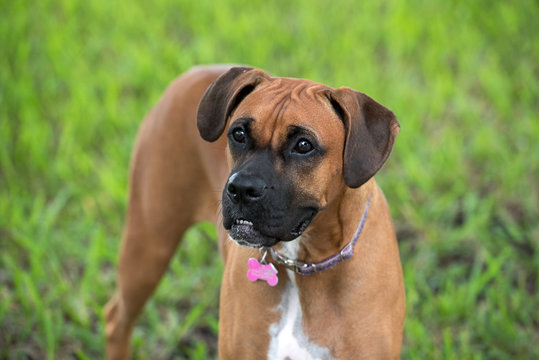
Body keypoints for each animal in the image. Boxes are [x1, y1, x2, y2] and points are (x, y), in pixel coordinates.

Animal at [104, 65, 404, 360]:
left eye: (304, 145)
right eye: (238, 134)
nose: (242, 188)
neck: (303, 263)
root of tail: (194, 71)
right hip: (149, 247)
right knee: (116, 319)